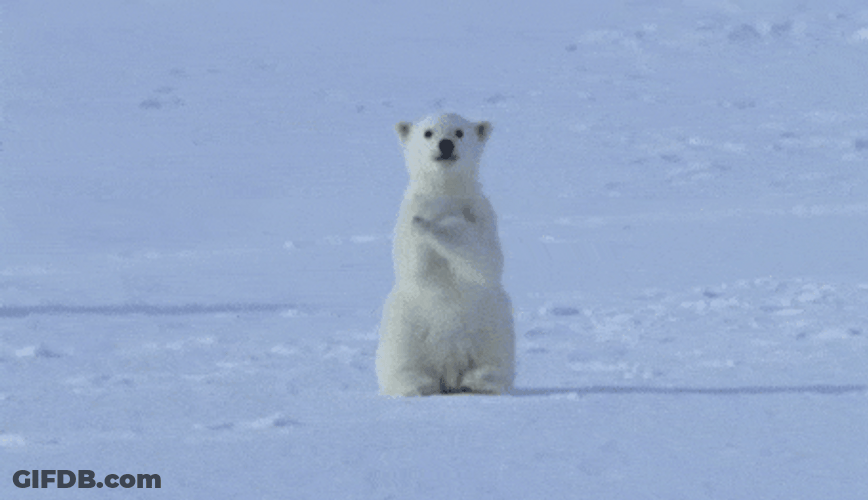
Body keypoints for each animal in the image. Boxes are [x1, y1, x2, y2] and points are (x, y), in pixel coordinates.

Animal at [376, 113, 515, 396]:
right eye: (428, 133)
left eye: (459, 132)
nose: (446, 144)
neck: (445, 192)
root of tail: (449, 372)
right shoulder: (408, 213)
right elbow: (415, 264)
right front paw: (423, 224)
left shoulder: (480, 213)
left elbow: (483, 259)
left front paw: (439, 225)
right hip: (406, 320)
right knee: (401, 357)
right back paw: (416, 382)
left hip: (492, 319)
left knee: (497, 355)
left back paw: (480, 379)